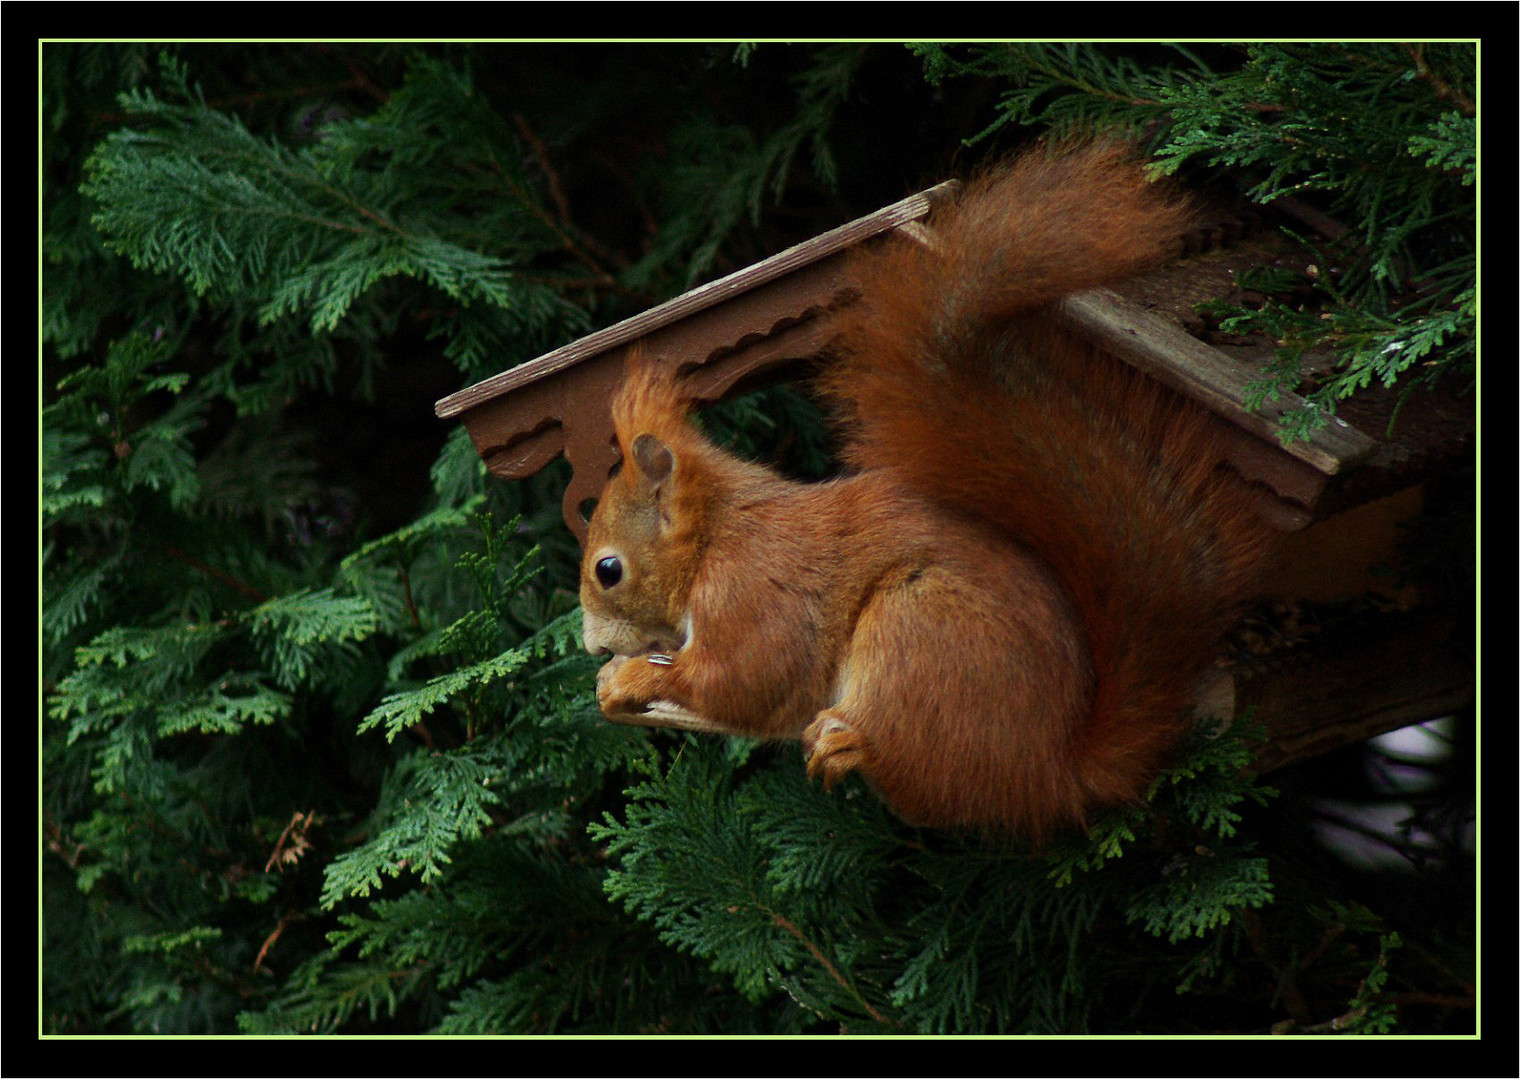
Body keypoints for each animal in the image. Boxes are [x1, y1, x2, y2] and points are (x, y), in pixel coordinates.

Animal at [574, 141, 1265, 839]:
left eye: (609, 569)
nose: (592, 646)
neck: (713, 536)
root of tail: (1053, 772)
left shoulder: (753, 593)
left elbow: (741, 680)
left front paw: (629, 678)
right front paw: (614, 681)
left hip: (919, 625)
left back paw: (853, 742)